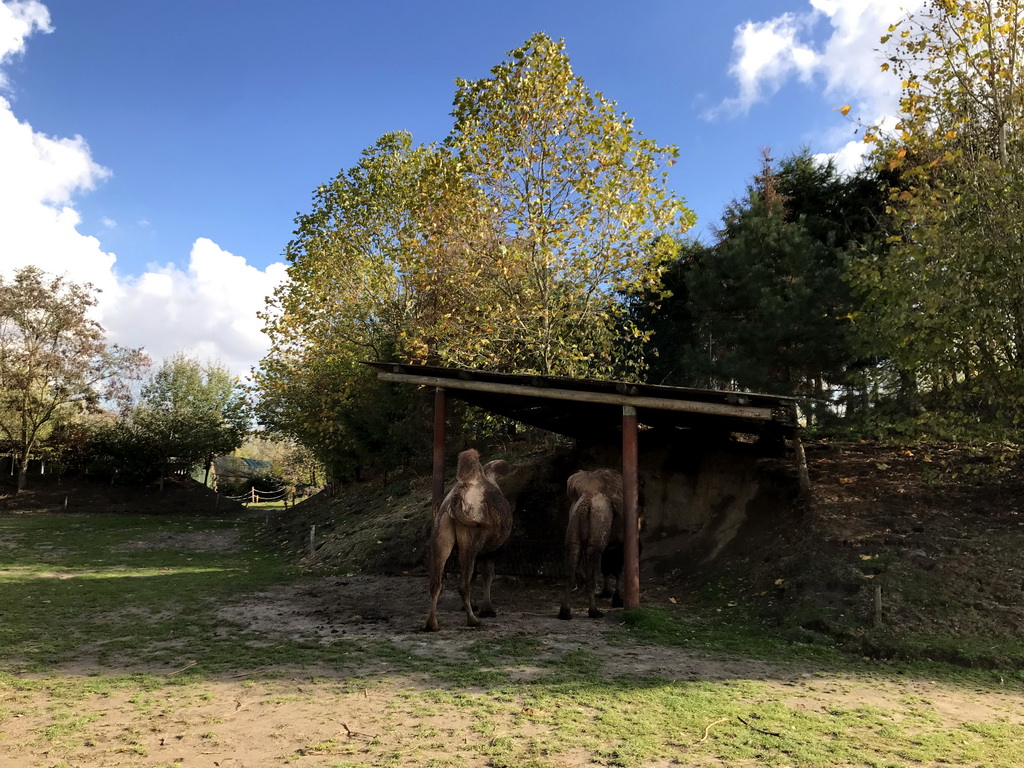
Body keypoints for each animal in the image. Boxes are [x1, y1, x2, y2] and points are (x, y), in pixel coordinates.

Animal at [421, 448, 509, 634]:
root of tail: (455, 500)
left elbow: (475, 575)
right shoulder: (491, 550)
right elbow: (487, 574)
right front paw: (487, 610)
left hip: (441, 535)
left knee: (436, 581)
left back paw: (432, 624)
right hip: (470, 540)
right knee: (463, 585)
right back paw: (473, 620)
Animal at [561, 466, 622, 622]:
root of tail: (586, 501)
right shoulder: (620, 541)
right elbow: (617, 569)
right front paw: (618, 600)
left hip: (574, 540)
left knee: (570, 573)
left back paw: (565, 612)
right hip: (595, 544)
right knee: (591, 577)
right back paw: (594, 611)